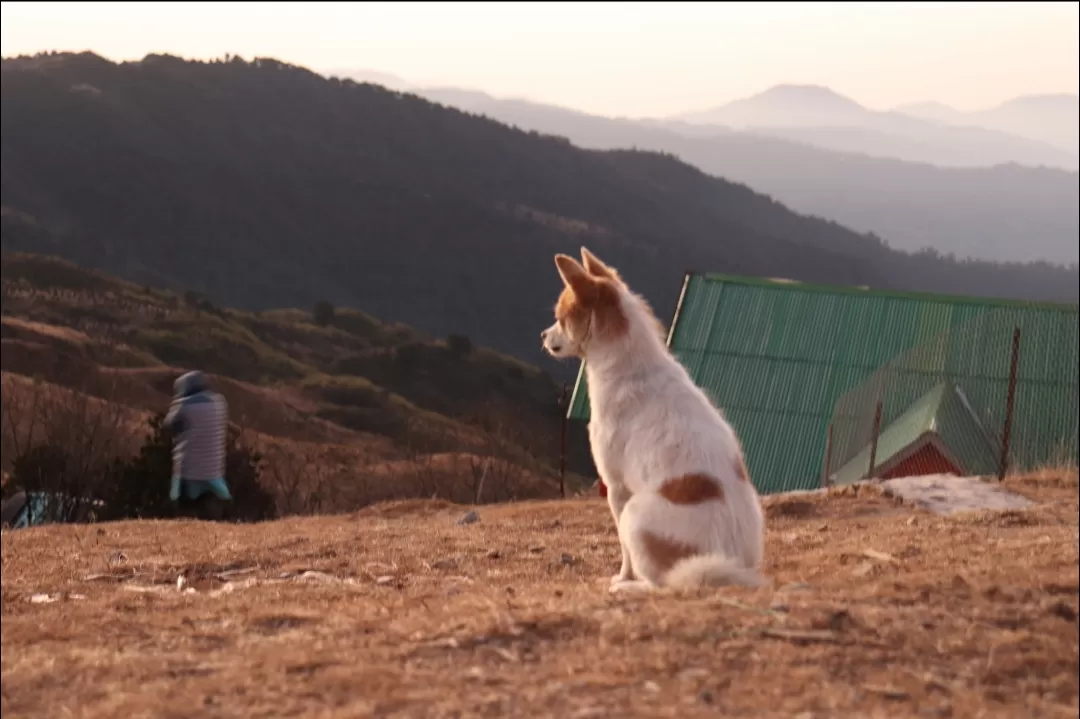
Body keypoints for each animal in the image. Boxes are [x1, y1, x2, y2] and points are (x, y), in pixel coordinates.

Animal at [540, 249, 768, 591]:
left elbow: (624, 551)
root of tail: (722, 561)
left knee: (662, 585)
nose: (543, 335)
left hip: (635, 514)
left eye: (561, 317)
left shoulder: (616, 488)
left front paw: (623, 576)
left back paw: (628, 588)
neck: (630, 367)